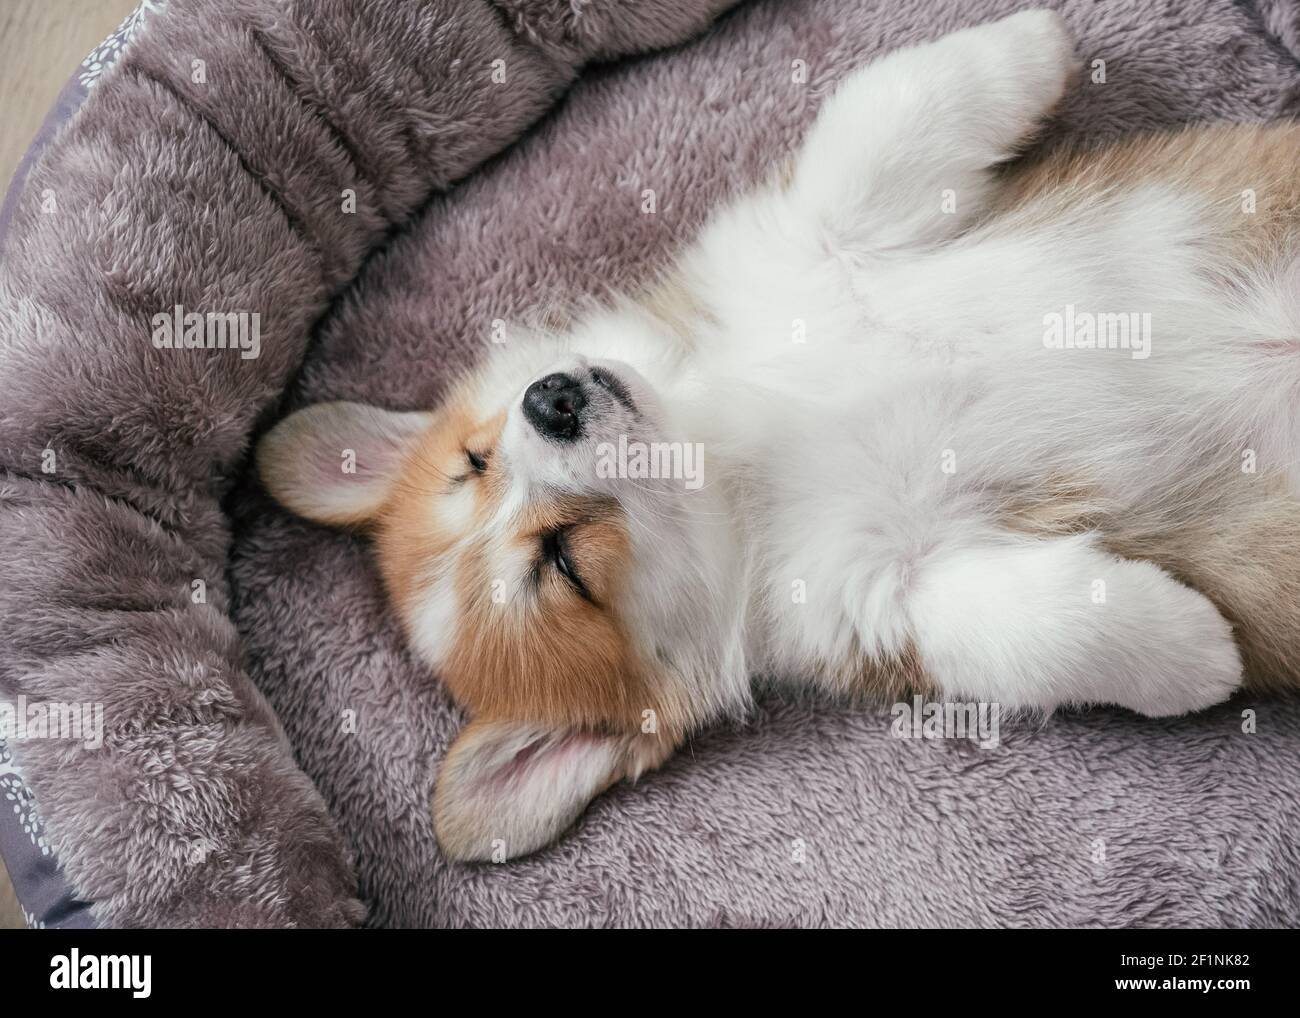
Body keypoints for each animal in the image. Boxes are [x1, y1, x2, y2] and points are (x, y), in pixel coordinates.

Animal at [258, 11, 1300, 863]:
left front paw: (1037, 41)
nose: (550, 398)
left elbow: (885, 114)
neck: (732, 444)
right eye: (562, 564)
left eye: (474, 458)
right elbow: (1027, 632)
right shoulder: (882, 592)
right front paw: (1191, 652)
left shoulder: (816, 233)